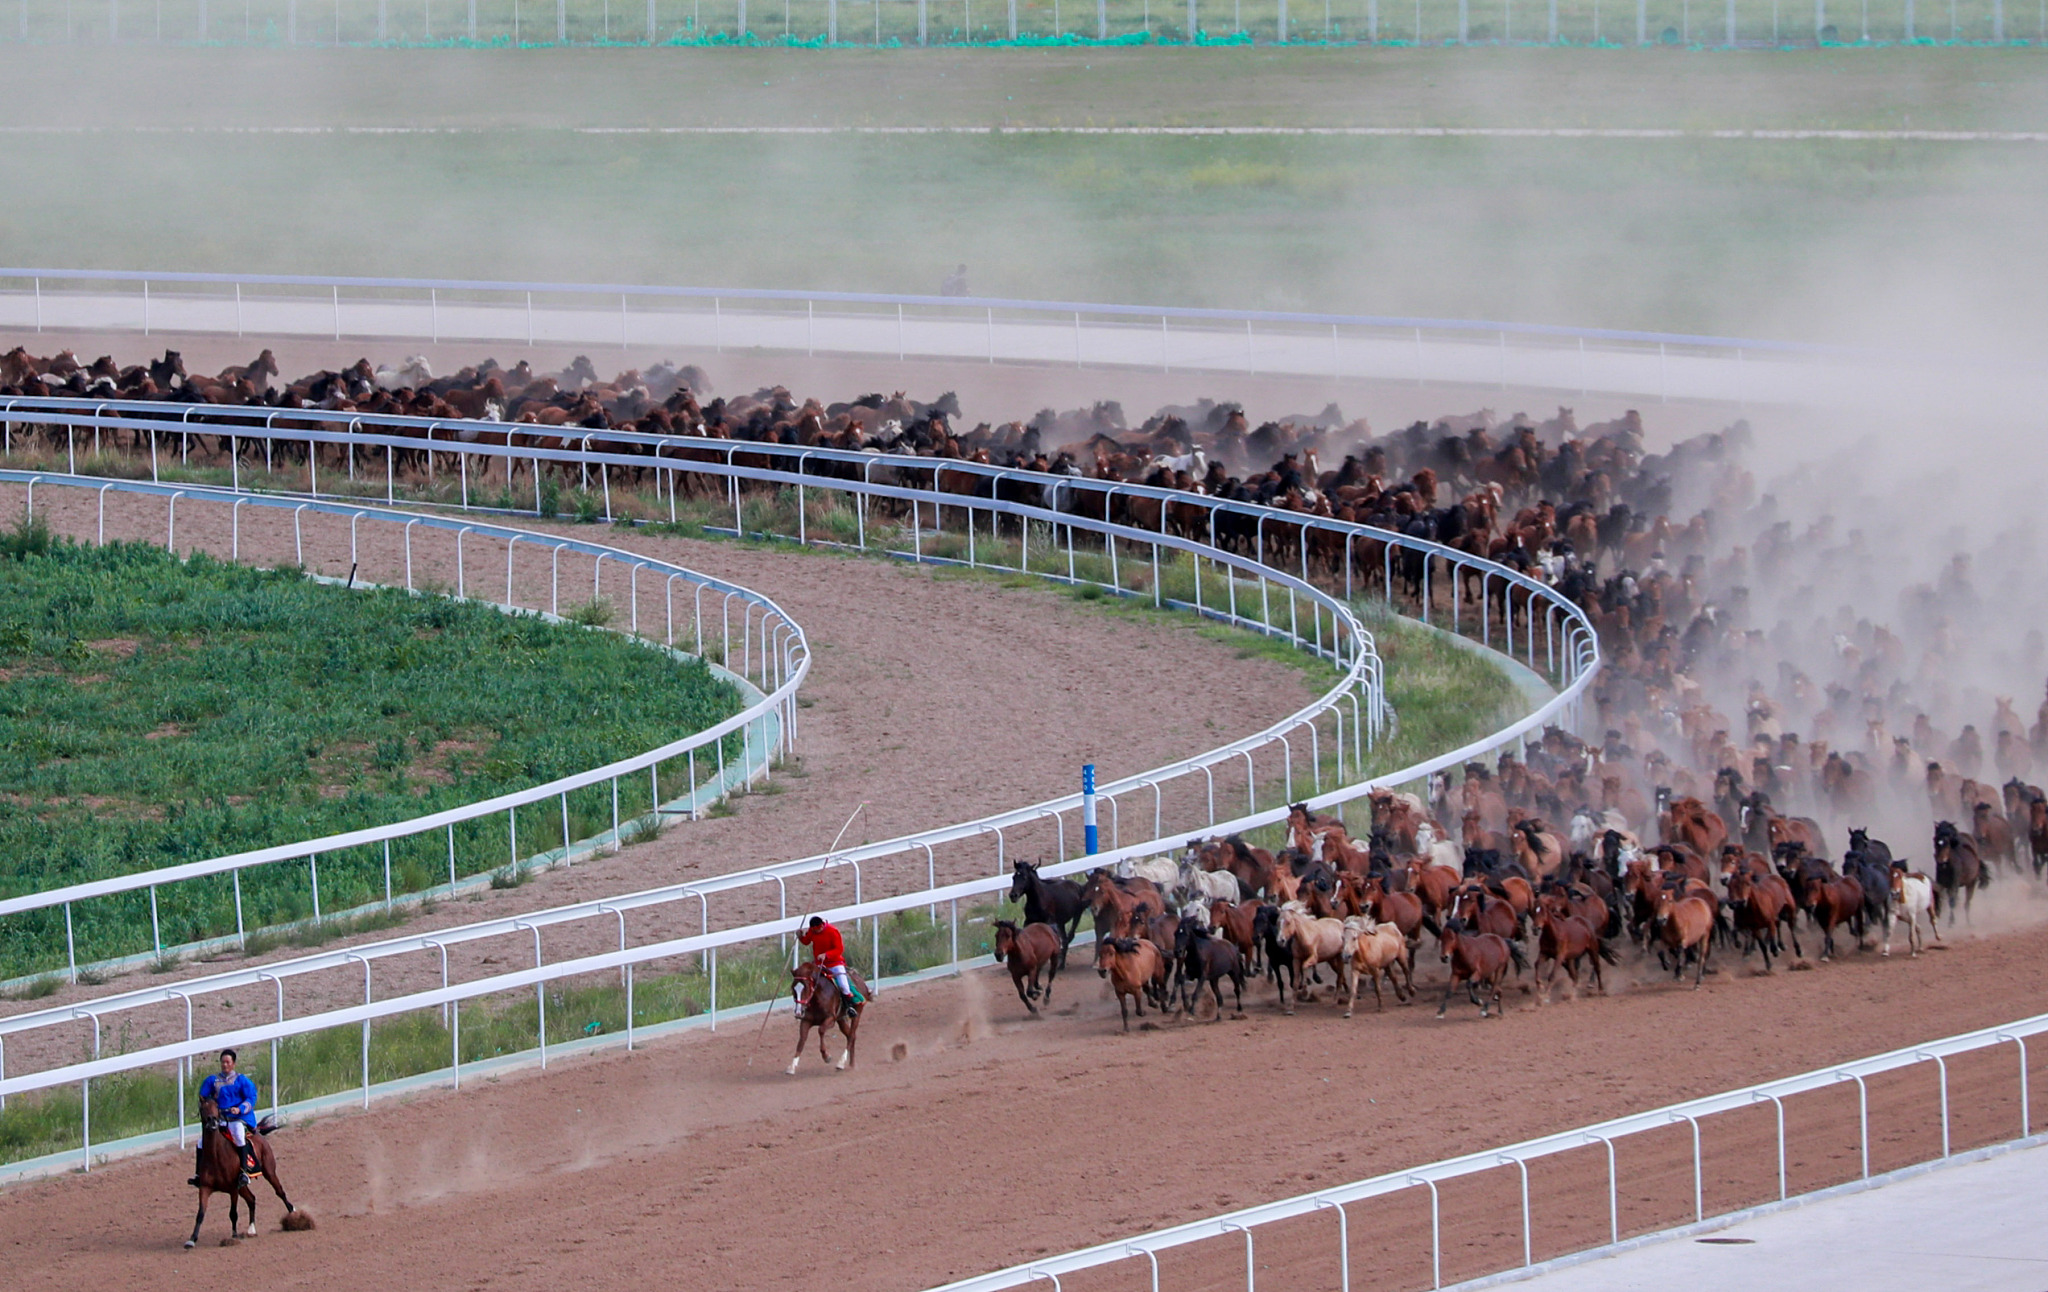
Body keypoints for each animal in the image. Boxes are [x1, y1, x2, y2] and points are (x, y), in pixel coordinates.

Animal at [188, 1097, 307, 1244]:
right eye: (202, 1107)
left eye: (216, 1106)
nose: (212, 1121)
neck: (215, 1155)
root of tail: (257, 1132)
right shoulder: (205, 1187)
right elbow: (200, 1214)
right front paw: (192, 1239)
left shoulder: (233, 1189)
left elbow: (233, 1213)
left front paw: (234, 1236)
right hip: (243, 1187)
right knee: (251, 1199)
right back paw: (251, 1229)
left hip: (269, 1172)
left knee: (280, 1192)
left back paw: (294, 1214)